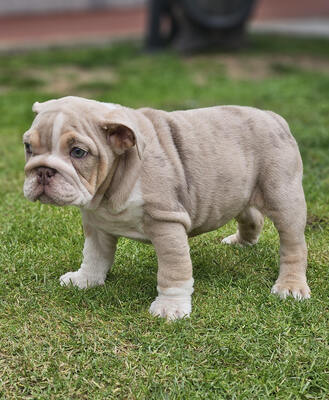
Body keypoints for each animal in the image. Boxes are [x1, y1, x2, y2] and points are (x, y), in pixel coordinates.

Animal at [23, 96, 310, 318]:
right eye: (28, 146)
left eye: (78, 152)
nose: (43, 172)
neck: (115, 180)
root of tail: (273, 117)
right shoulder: (97, 224)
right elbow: (94, 256)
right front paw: (85, 279)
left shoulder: (166, 223)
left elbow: (173, 271)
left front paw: (169, 308)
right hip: (240, 190)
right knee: (251, 215)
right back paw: (241, 242)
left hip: (283, 197)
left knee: (293, 245)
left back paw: (290, 286)